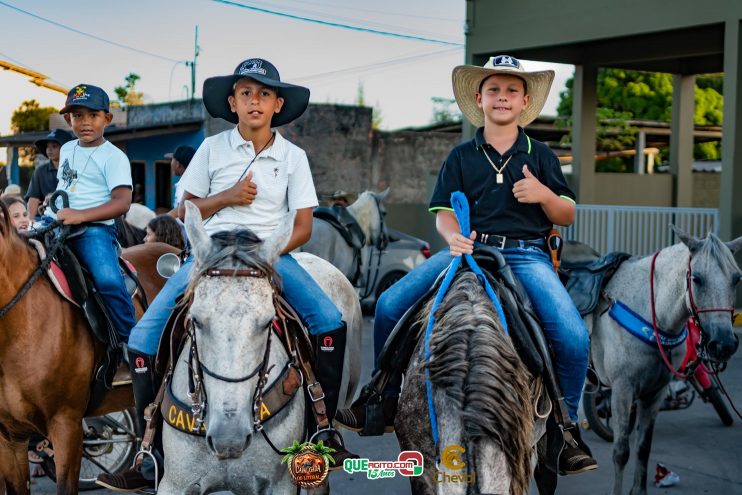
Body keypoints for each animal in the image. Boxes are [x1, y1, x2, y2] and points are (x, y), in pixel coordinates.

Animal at [588, 229, 740, 495]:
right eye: (697, 279)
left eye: (737, 278)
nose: (723, 344)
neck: (649, 311)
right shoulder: (622, 390)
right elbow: (621, 452)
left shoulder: (655, 393)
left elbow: (643, 448)